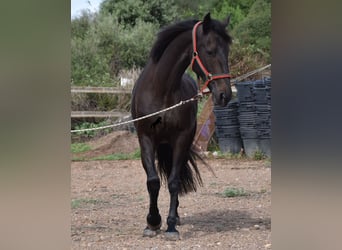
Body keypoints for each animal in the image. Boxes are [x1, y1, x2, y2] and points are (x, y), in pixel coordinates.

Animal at [131, 12, 232, 239]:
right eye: (210, 50)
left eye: (228, 51)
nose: (225, 95)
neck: (161, 90)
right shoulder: (146, 138)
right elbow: (153, 181)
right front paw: (152, 223)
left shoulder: (181, 139)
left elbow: (174, 181)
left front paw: (170, 226)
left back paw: (175, 217)